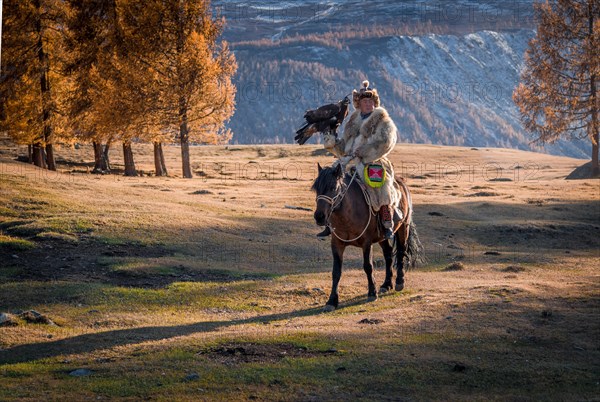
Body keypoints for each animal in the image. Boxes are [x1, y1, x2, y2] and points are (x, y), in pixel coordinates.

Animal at [312, 163, 424, 310]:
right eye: (316, 188)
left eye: (333, 188)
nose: (319, 217)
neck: (349, 213)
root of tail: (401, 182)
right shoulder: (337, 244)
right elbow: (336, 271)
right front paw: (332, 301)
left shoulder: (366, 242)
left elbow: (368, 266)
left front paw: (372, 293)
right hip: (383, 236)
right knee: (388, 254)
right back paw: (386, 284)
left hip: (403, 228)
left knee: (401, 251)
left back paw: (399, 282)